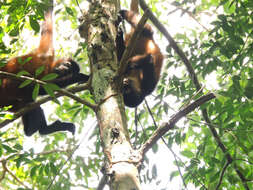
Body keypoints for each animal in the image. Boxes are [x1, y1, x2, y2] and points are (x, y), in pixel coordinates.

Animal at [0, 0, 89, 137]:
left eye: (68, 72)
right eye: (68, 66)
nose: (64, 70)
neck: (49, 67)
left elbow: (47, 87)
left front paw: (82, 77)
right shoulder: (45, 56)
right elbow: (47, 28)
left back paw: (39, 130)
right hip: (6, 87)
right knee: (26, 87)